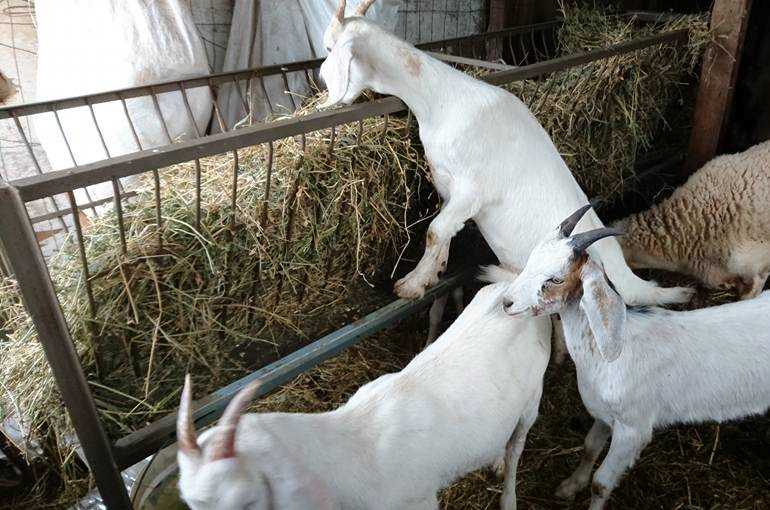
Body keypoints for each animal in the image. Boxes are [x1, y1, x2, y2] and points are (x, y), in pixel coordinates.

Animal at [176, 280, 544, 508]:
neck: (351, 449)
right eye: (191, 503)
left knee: (517, 446)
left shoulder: (419, 500)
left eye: (247, 501)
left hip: (532, 399)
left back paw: (508, 494)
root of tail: (512, 287)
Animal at [318, 0, 688, 342]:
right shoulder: (448, 188)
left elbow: (435, 230)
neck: (442, 101)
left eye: (329, 48)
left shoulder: (472, 190)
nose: (321, 79)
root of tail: (630, 280)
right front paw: (437, 269)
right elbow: (445, 232)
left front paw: (411, 284)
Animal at [500, 206, 768, 510]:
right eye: (531, 258)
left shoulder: (633, 429)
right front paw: (570, 486)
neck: (616, 351)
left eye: (555, 279)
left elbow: (601, 484)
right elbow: (589, 447)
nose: (507, 302)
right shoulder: (605, 415)